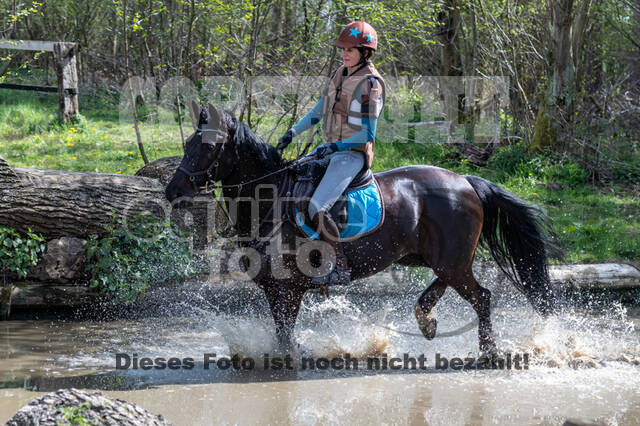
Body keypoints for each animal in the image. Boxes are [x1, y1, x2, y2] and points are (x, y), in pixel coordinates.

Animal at [166, 103, 560, 356]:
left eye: (208, 147)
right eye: (187, 144)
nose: (173, 191)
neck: (271, 196)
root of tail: (465, 180)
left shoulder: (288, 290)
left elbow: (285, 339)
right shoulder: (275, 291)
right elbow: (282, 336)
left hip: (451, 260)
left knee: (482, 297)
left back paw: (488, 351)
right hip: (431, 258)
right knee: (448, 285)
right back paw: (427, 321)